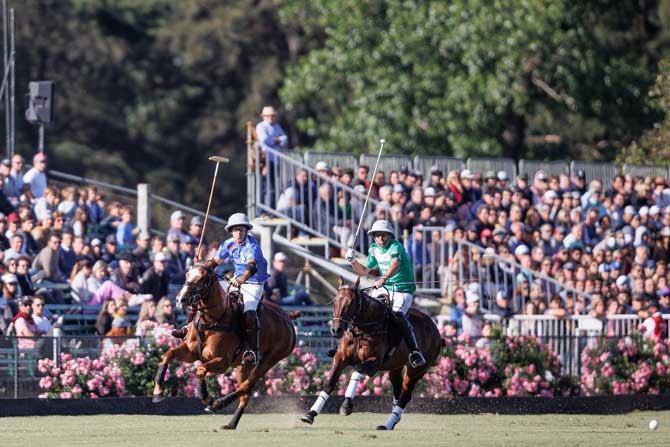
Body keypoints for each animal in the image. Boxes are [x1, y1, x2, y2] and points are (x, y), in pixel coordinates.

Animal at [154, 262, 300, 430]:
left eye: (202, 278)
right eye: (187, 274)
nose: (180, 299)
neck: (211, 321)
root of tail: (287, 317)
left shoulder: (222, 362)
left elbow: (201, 369)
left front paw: (207, 398)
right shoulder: (191, 352)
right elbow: (168, 354)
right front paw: (158, 392)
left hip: (269, 360)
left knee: (245, 387)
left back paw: (218, 403)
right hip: (244, 366)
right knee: (245, 393)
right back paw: (231, 423)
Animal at [302, 280, 444, 430]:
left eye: (351, 303)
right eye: (335, 301)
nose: (336, 330)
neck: (362, 329)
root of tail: (435, 329)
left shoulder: (374, 362)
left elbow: (357, 371)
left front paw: (347, 405)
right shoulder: (340, 358)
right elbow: (329, 384)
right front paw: (310, 414)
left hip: (416, 370)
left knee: (404, 397)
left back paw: (387, 425)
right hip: (395, 368)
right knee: (398, 392)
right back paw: (392, 422)